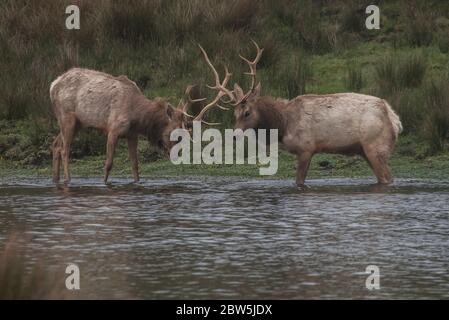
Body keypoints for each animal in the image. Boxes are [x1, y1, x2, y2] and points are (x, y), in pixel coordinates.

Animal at [50, 67, 218, 184]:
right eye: (176, 134)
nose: (177, 156)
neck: (138, 118)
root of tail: (52, 85)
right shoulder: (113, 130)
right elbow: (108, 164)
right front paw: (104, 183)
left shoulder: (132, 134)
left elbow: (135, 165)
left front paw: (137, 182)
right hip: (67, 117)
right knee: (65, 149)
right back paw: (68, 180)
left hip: (77, 122)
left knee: (56, 144)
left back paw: (55, 179)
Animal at [200, 41, 402, 189]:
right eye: (234, 113)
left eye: (247, 112)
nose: (233, 135)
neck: (283, 124)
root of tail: (394, 119)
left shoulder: (306, 148)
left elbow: (299, 181)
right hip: (365, 150)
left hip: (375, 145)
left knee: (387, 178)